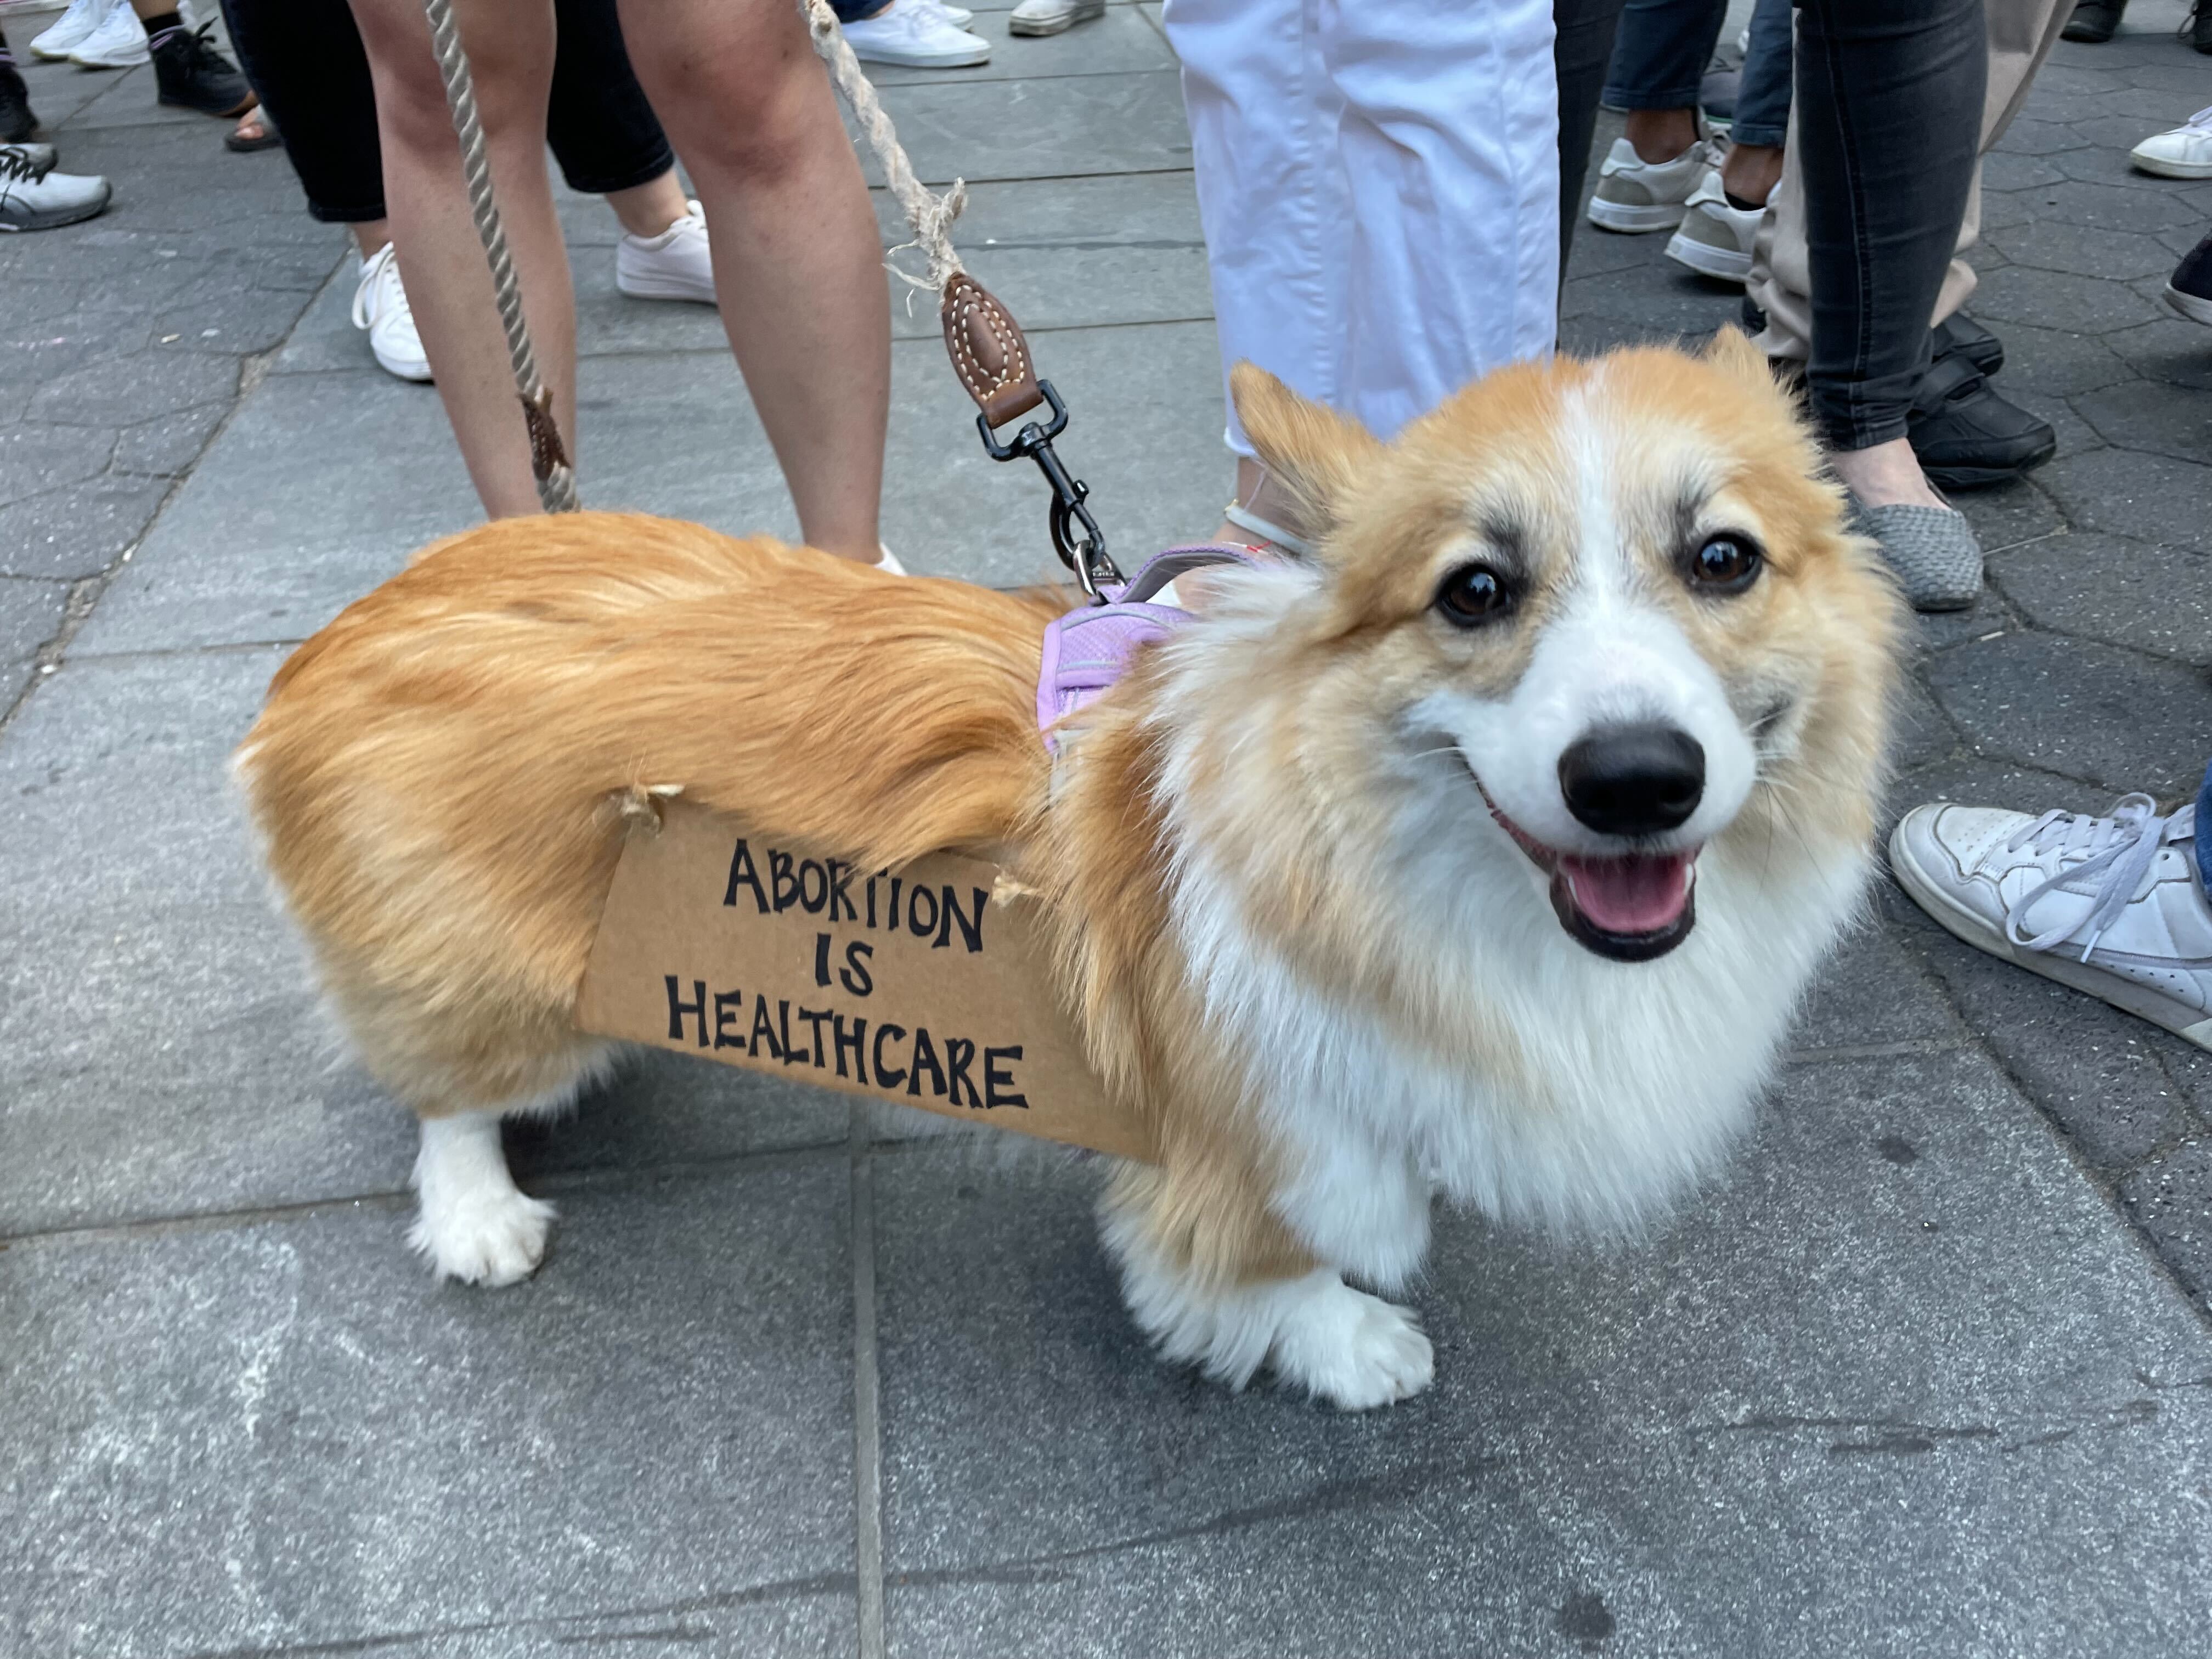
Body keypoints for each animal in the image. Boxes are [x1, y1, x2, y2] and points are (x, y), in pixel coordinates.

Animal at [238, 334, 1902, 1415]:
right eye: (1475, 592)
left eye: (1725, 561)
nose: (1637, 780)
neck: (1385, 854)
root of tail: (337, 638)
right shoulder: (1262, 1134)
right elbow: (1276, 1267)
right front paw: (1355, 1349)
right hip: (497, 992)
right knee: (447, 1093)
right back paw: (481, 1219)